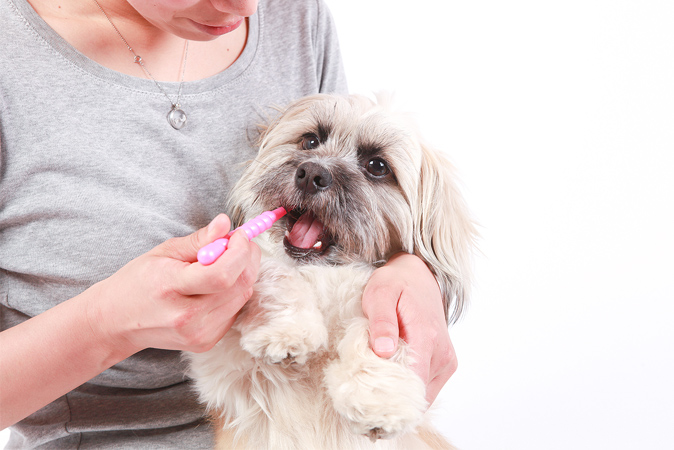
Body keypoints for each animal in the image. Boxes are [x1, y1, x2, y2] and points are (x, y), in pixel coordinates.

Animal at [186, 93, 476, 448]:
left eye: (377, 166)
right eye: (310, 141)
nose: (311, 172)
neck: (325, 275)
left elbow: (378, 335)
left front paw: (379, 398)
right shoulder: (221, 364)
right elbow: (273, 269)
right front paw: (287, 330)